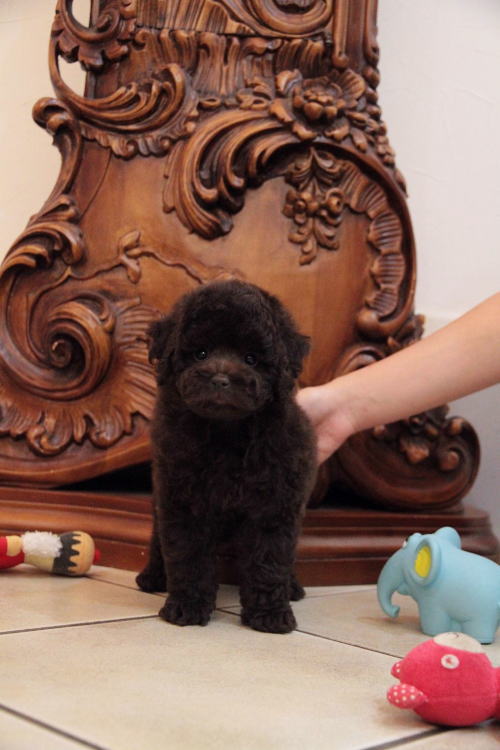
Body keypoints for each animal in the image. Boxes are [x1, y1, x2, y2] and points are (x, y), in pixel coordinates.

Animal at [136, 279, 317, 633]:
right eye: (201, 353)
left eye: (251, 358)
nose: (220, 380)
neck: (227, 433)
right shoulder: (182, 499)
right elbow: (187, 554)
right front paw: (187, 606)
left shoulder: (275, 505)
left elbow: (270, 559)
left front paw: (270, 614)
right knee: (157, 538)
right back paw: (152, 576)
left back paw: (293, 586)